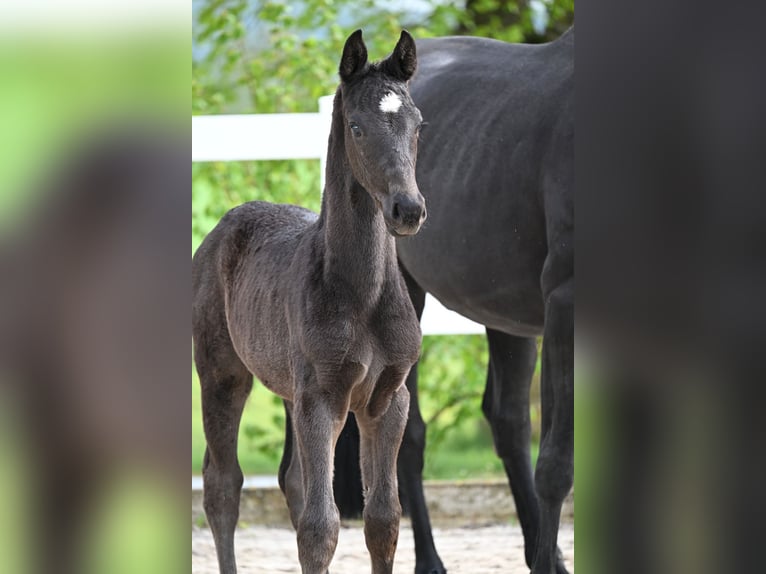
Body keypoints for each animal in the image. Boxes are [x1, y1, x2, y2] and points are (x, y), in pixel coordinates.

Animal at [192, 30, 428, 574]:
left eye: (418, 124)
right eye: (357, 127)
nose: (408, 210)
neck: (363, 295)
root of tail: (223, 225)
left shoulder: (388, 400)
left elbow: (383, 521)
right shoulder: (322, 398)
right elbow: (321, 528)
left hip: (287, 390)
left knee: (292, 482)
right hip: (221, 375)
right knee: (222, 485)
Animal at [282, 28, 574, 574]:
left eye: (419, 128)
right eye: (358, 128)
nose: (409, 209)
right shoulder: (566, 306)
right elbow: (557, 465)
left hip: (509, 318)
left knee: (507, 421)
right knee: (412, 438)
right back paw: (431, 559)